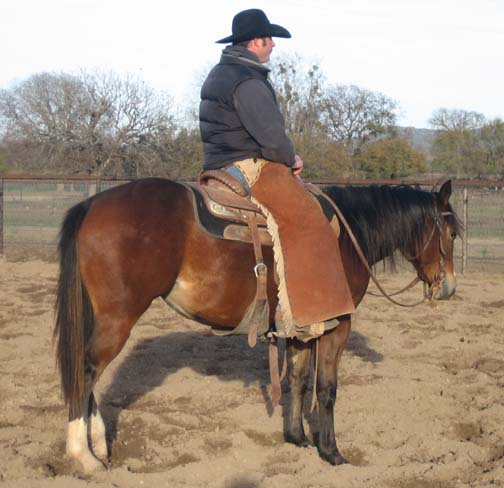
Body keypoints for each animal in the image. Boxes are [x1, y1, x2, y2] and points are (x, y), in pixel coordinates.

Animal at [54, 177, 460, 470]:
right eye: (453, 233)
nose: (449, 288)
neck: (347, 237)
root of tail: (92, 204)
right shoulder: (337, 325)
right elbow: (326, 389)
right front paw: (332, 453)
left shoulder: (301, 331)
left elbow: (298, 380)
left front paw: (297, 438)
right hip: (117, 318)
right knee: (86, 370)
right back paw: (84, 456)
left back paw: (100, 446)